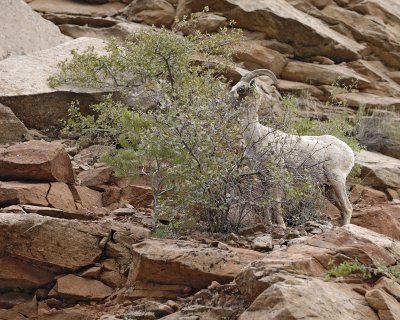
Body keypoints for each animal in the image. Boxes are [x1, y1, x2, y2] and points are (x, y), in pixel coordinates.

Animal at [230, 68, 354, 228]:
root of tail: (350, 153)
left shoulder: (278, 173)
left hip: (336, 180)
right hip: (327, 188)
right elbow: (265, 201)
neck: (258, 137)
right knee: (342, 208)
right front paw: (268, 224)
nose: (228, 100)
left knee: (347, 207)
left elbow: (276, 202)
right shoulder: (263, 177)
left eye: (241, 89)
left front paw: (281, 225)